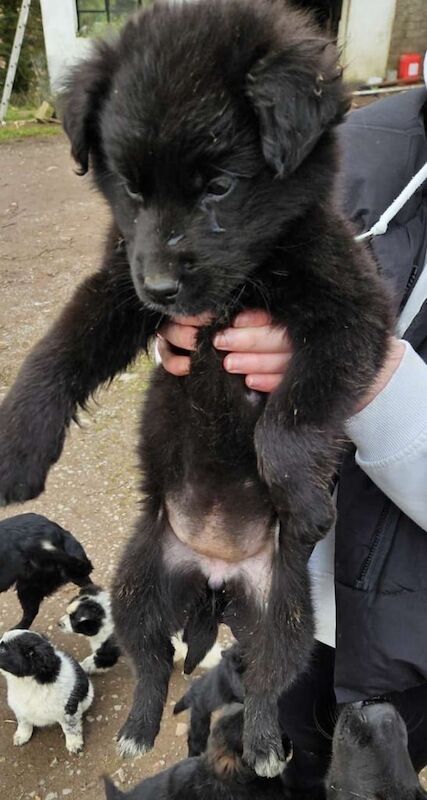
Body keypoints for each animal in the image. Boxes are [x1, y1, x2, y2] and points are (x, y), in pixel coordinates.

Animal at [0, 0, 392, 776]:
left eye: (219, 186)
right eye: (131, 187)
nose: (159, 288)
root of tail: (214, 577)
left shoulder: (354, 313)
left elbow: (287, 421)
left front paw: (303, 500)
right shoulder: (116, 283)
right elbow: (56, 352)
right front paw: (19, 449)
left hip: (286, 610)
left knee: (267, 680)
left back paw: (265, 745)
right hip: (138, 579)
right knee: (151, 662)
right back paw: (136, 728)